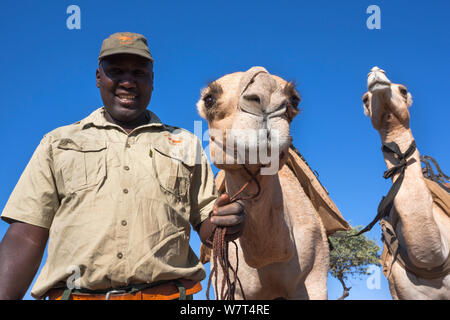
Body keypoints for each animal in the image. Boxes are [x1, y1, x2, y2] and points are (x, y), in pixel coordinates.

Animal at [194, 66, 348, 298]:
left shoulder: (314, 278)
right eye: (209, 99)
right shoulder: (229, 286)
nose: (265, 97)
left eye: (294, 99)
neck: (267, 258)